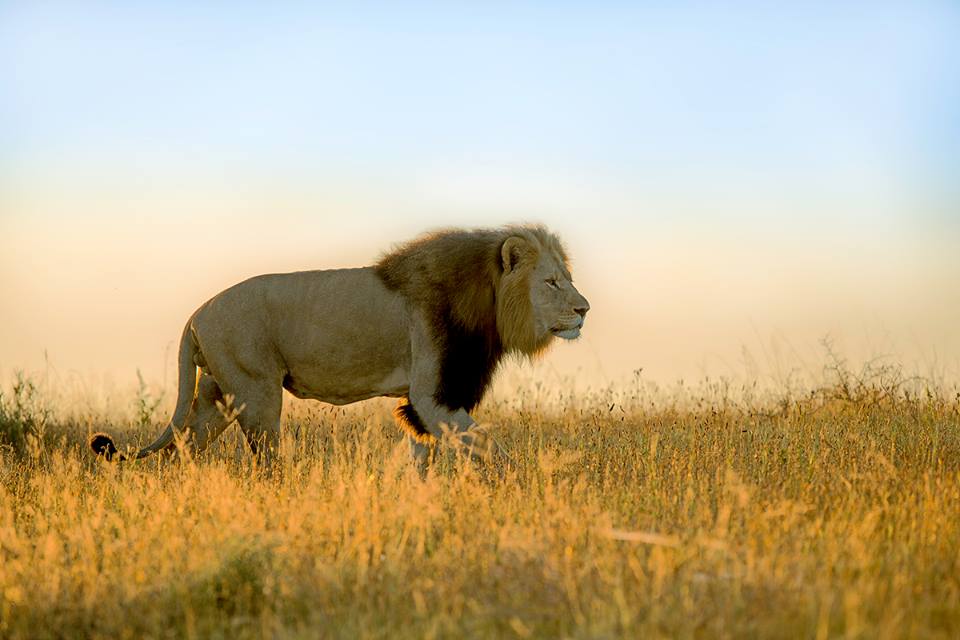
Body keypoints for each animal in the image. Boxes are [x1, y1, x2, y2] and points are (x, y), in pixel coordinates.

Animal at [92, 224, 584, 464]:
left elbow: (428, 455)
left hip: (217, 394)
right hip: (256, 391)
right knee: (264, 460)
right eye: (552, 282)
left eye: (567, 278)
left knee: (183, 446)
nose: (585, 309)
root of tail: (196, 314)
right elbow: (490, 447)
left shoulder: (429, 401)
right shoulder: (434, 394)